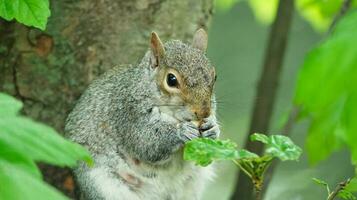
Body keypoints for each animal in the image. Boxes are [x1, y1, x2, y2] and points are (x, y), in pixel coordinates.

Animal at [64, 28, 220, 200]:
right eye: (171, 80)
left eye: (214, 76)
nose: (204, 112)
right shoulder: (127, 112)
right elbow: (145, 141)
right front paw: (181, 131)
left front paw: (212, 128)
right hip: (105, 185)